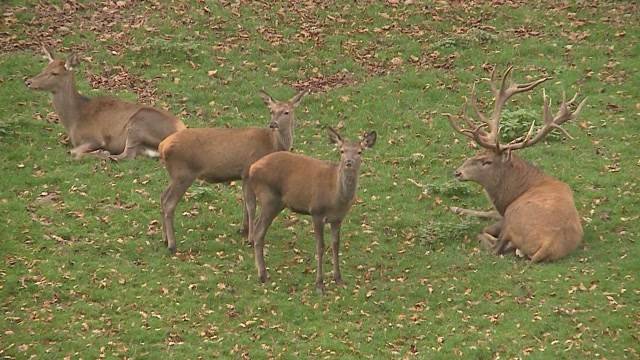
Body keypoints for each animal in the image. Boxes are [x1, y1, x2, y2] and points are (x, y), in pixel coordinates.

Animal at [24, 47, 185, 160]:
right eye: (44, 68)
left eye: (55, 73)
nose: (28, 82)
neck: (74, 119)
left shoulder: (95, 138)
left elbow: (74, 151)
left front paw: (101, 151)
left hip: (138, 122)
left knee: (126, 156)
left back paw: (106, 155)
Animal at [161, 88, 308, 253]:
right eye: (271, 110)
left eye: (286, 112)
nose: (273, 124)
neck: (272, 145)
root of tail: (163, 146)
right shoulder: (248, 170)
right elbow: (251, 205)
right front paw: (251, 238)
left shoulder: (243, 175)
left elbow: (245, 203)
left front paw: (243, 230)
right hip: (183, 173)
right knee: (169, 203)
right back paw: (172, 244)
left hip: (174, 174)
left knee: (162, 197)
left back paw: (164, 239)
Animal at [244, 128, 376, 294]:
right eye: (342, 150)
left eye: (360, 151)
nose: (348, 162)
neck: (336, 197)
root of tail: (252, 168)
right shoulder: (316, 211)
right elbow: (320, 247)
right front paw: (319, 284)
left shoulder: (338, 218)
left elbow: (335, 245)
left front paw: (338, 278)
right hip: (269, 198)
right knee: (259, 231)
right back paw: (263, 275)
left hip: (276, 203)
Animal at [444, 66, 584, 262]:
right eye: (477, 153)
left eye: (487, 162)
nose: (457, 172)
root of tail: (547, 245)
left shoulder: (505, 212)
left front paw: (456, 208)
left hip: (513, 218)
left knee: (494, 246)